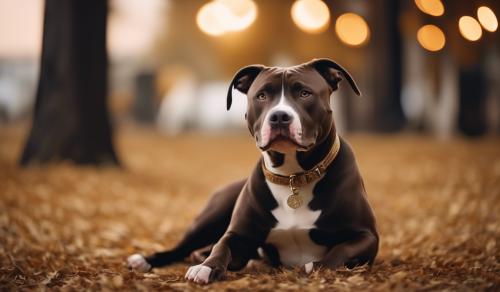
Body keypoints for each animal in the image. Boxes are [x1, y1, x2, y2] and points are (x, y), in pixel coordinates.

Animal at [127, 58, 376, 284]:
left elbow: (339, 251)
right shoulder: (237, 233)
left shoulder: (367, 236)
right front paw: (207, 267)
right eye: (262, 95)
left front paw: (313, 267)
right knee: (182, 248)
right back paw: (147, 260)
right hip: (210, 217)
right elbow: (222, 245)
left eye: (305, 93)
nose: (279, 116)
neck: (293, 176)